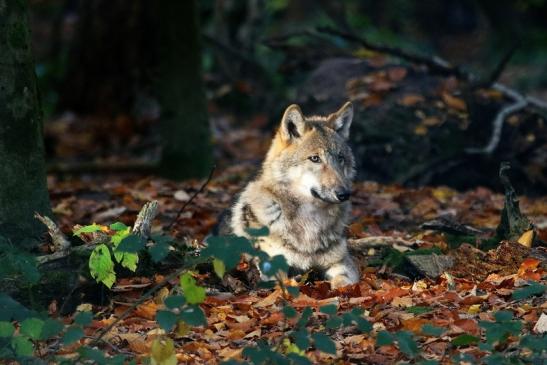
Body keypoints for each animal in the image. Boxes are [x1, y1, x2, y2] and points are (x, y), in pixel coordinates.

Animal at [223, 101, 360, 288]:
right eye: (315, 159)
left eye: (340, 158)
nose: (344, 194)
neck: (309, 220)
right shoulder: (272, 267)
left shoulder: (341, 263)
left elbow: (343, 283)